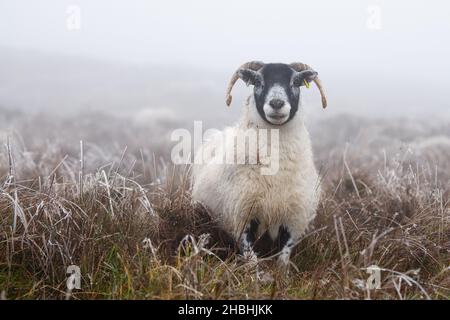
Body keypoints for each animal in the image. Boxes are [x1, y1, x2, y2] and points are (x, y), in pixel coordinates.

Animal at [190, 62, 326, 264]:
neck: (277, 169)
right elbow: (251, 258)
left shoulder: (292, 219)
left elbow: (283, 258)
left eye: (295, 82)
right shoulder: (242, 216)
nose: (276, 103)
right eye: (258, 81)